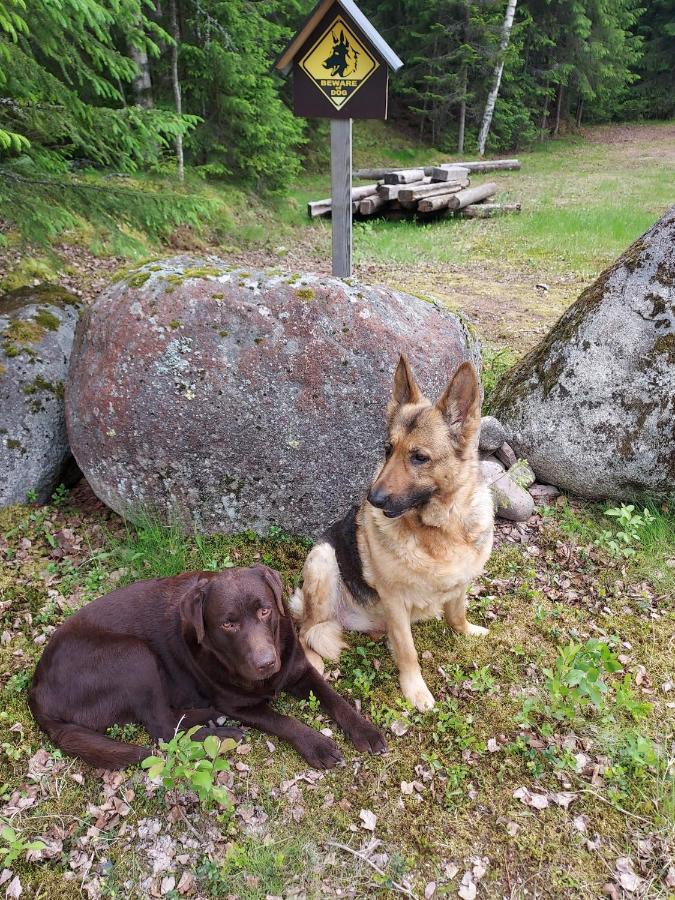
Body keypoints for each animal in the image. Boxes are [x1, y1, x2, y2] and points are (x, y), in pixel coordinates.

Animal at [30, 568, 386, 768]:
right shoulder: (240, 705)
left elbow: (334, 698)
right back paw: (222, 730)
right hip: (132, 655)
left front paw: (365, 731)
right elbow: (285, 722)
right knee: (161, 728)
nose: (266, 663)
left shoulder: (299, 670)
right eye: (228, 623)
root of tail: (36, 691)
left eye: (265, 611)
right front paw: (316, 744)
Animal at [288, 354, 494, 712]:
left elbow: (456, 614)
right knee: (306, 630)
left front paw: (466, 631)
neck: (439, 530)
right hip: (323, 562)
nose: (372, 498)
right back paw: (313, 660)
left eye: (419, 457)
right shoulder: (395, 601)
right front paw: (415, 690)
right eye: (388, 449)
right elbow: (408, 651)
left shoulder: (460, 583)